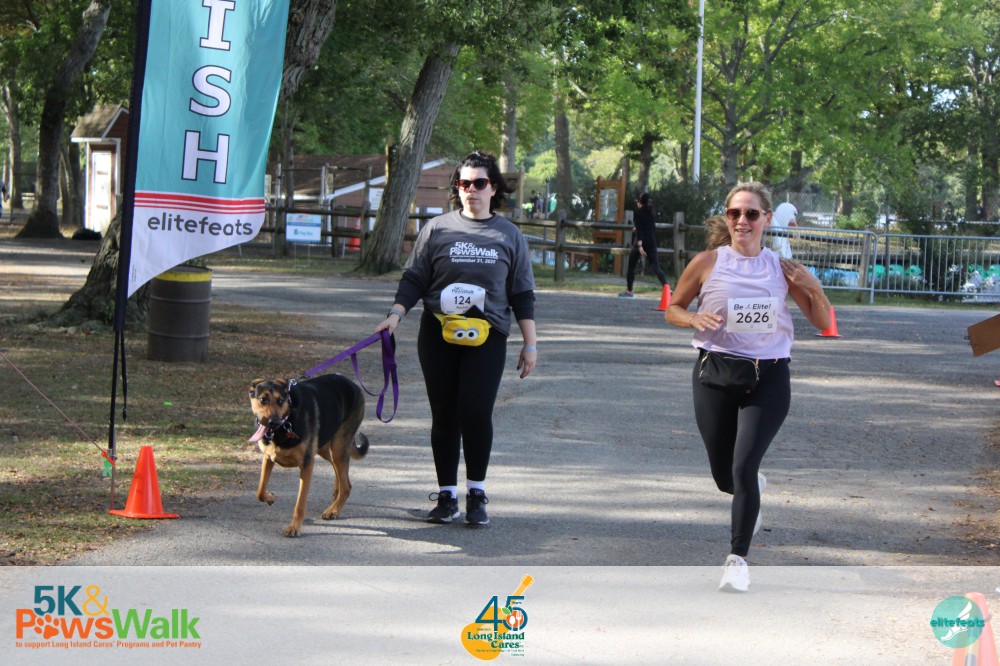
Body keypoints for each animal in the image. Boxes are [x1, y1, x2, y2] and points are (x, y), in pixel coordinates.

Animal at [248, 374, 369, 537]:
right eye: (263, 400)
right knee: (340, 473)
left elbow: (300, 503)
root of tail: (353, 384)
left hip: (337, 447)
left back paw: (334, 509)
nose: (274, 422)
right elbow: (260, 491)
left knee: (347, 486)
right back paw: (335, 495)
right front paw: (270, 497)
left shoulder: (307, 464)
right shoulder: (268, 459)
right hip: (326, 448)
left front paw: (294, 527)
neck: (287, 423)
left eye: (280, 401)